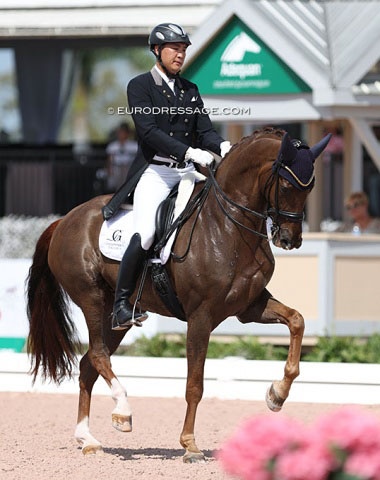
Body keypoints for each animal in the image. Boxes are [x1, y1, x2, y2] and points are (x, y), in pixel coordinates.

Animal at [26, 126, 330, 462]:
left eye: (311, 186)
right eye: (288, 185)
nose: (290, 240)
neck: (227, 225)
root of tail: (64, 220)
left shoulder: (249, 307)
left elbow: (297, 320)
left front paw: (277, 394)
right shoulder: (201, 316)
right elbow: (194, 384)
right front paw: (190, 445)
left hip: (114, 317)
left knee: (88, 365)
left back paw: (87, 438)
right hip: (91, 298)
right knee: (98, 354)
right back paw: (123, 411)